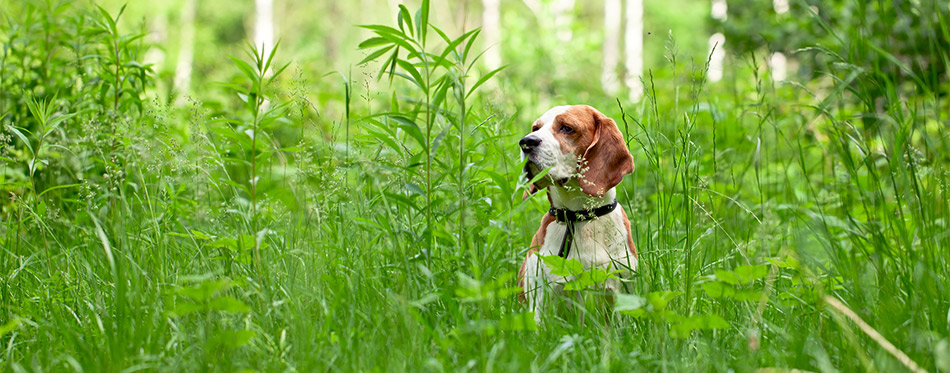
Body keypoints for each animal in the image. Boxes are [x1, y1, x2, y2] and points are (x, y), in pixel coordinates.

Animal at [516, 104, 636, 316]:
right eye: (535, 128)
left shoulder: (621, 291)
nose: (526, 142)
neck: (581, 217)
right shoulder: (541, 303)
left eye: (567, 128)